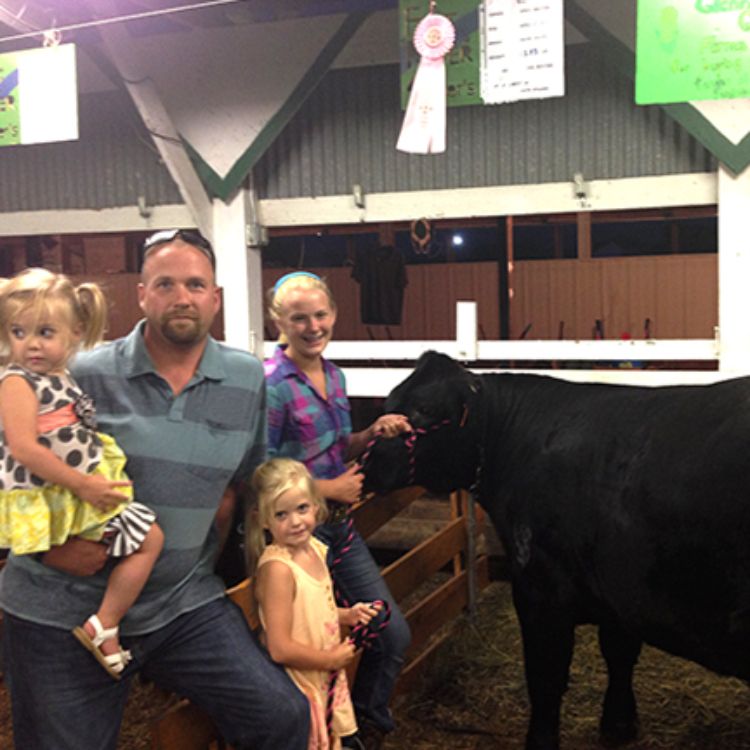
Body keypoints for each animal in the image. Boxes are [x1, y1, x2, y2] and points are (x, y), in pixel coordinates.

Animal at [364, 352, 750, 750]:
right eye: (389, 402)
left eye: (424, 408)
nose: (367, 462)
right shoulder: (618, 590)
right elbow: (619, 653)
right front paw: (619, 725)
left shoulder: (541, 592)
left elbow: (545, 679)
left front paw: (542, 740)